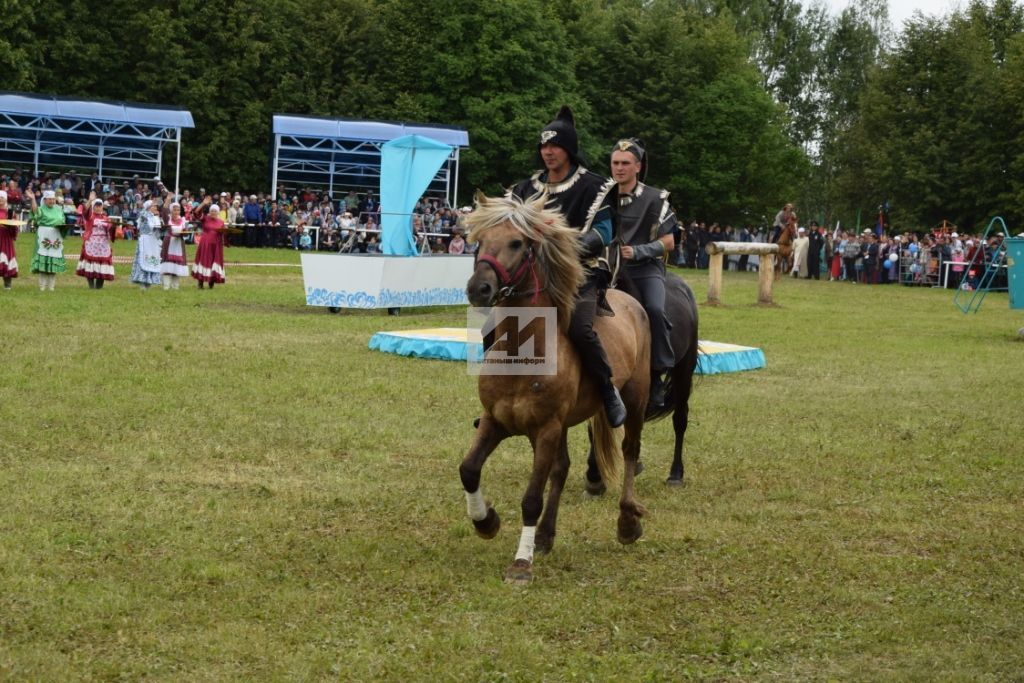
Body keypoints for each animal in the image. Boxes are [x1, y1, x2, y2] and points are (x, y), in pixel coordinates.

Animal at [462, 193, 651, 589]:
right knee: (562, 469)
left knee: (629, 451)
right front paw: (486, 521)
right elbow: (469, 469)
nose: (479, 289)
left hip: (635, 398)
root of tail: (629, 301)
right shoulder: (497, 422)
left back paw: (627, 522)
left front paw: (521, 564)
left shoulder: (546, 428)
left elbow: (531, 499)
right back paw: (545, 536)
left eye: (516, 243)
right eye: (479, 241)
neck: (522, 351)